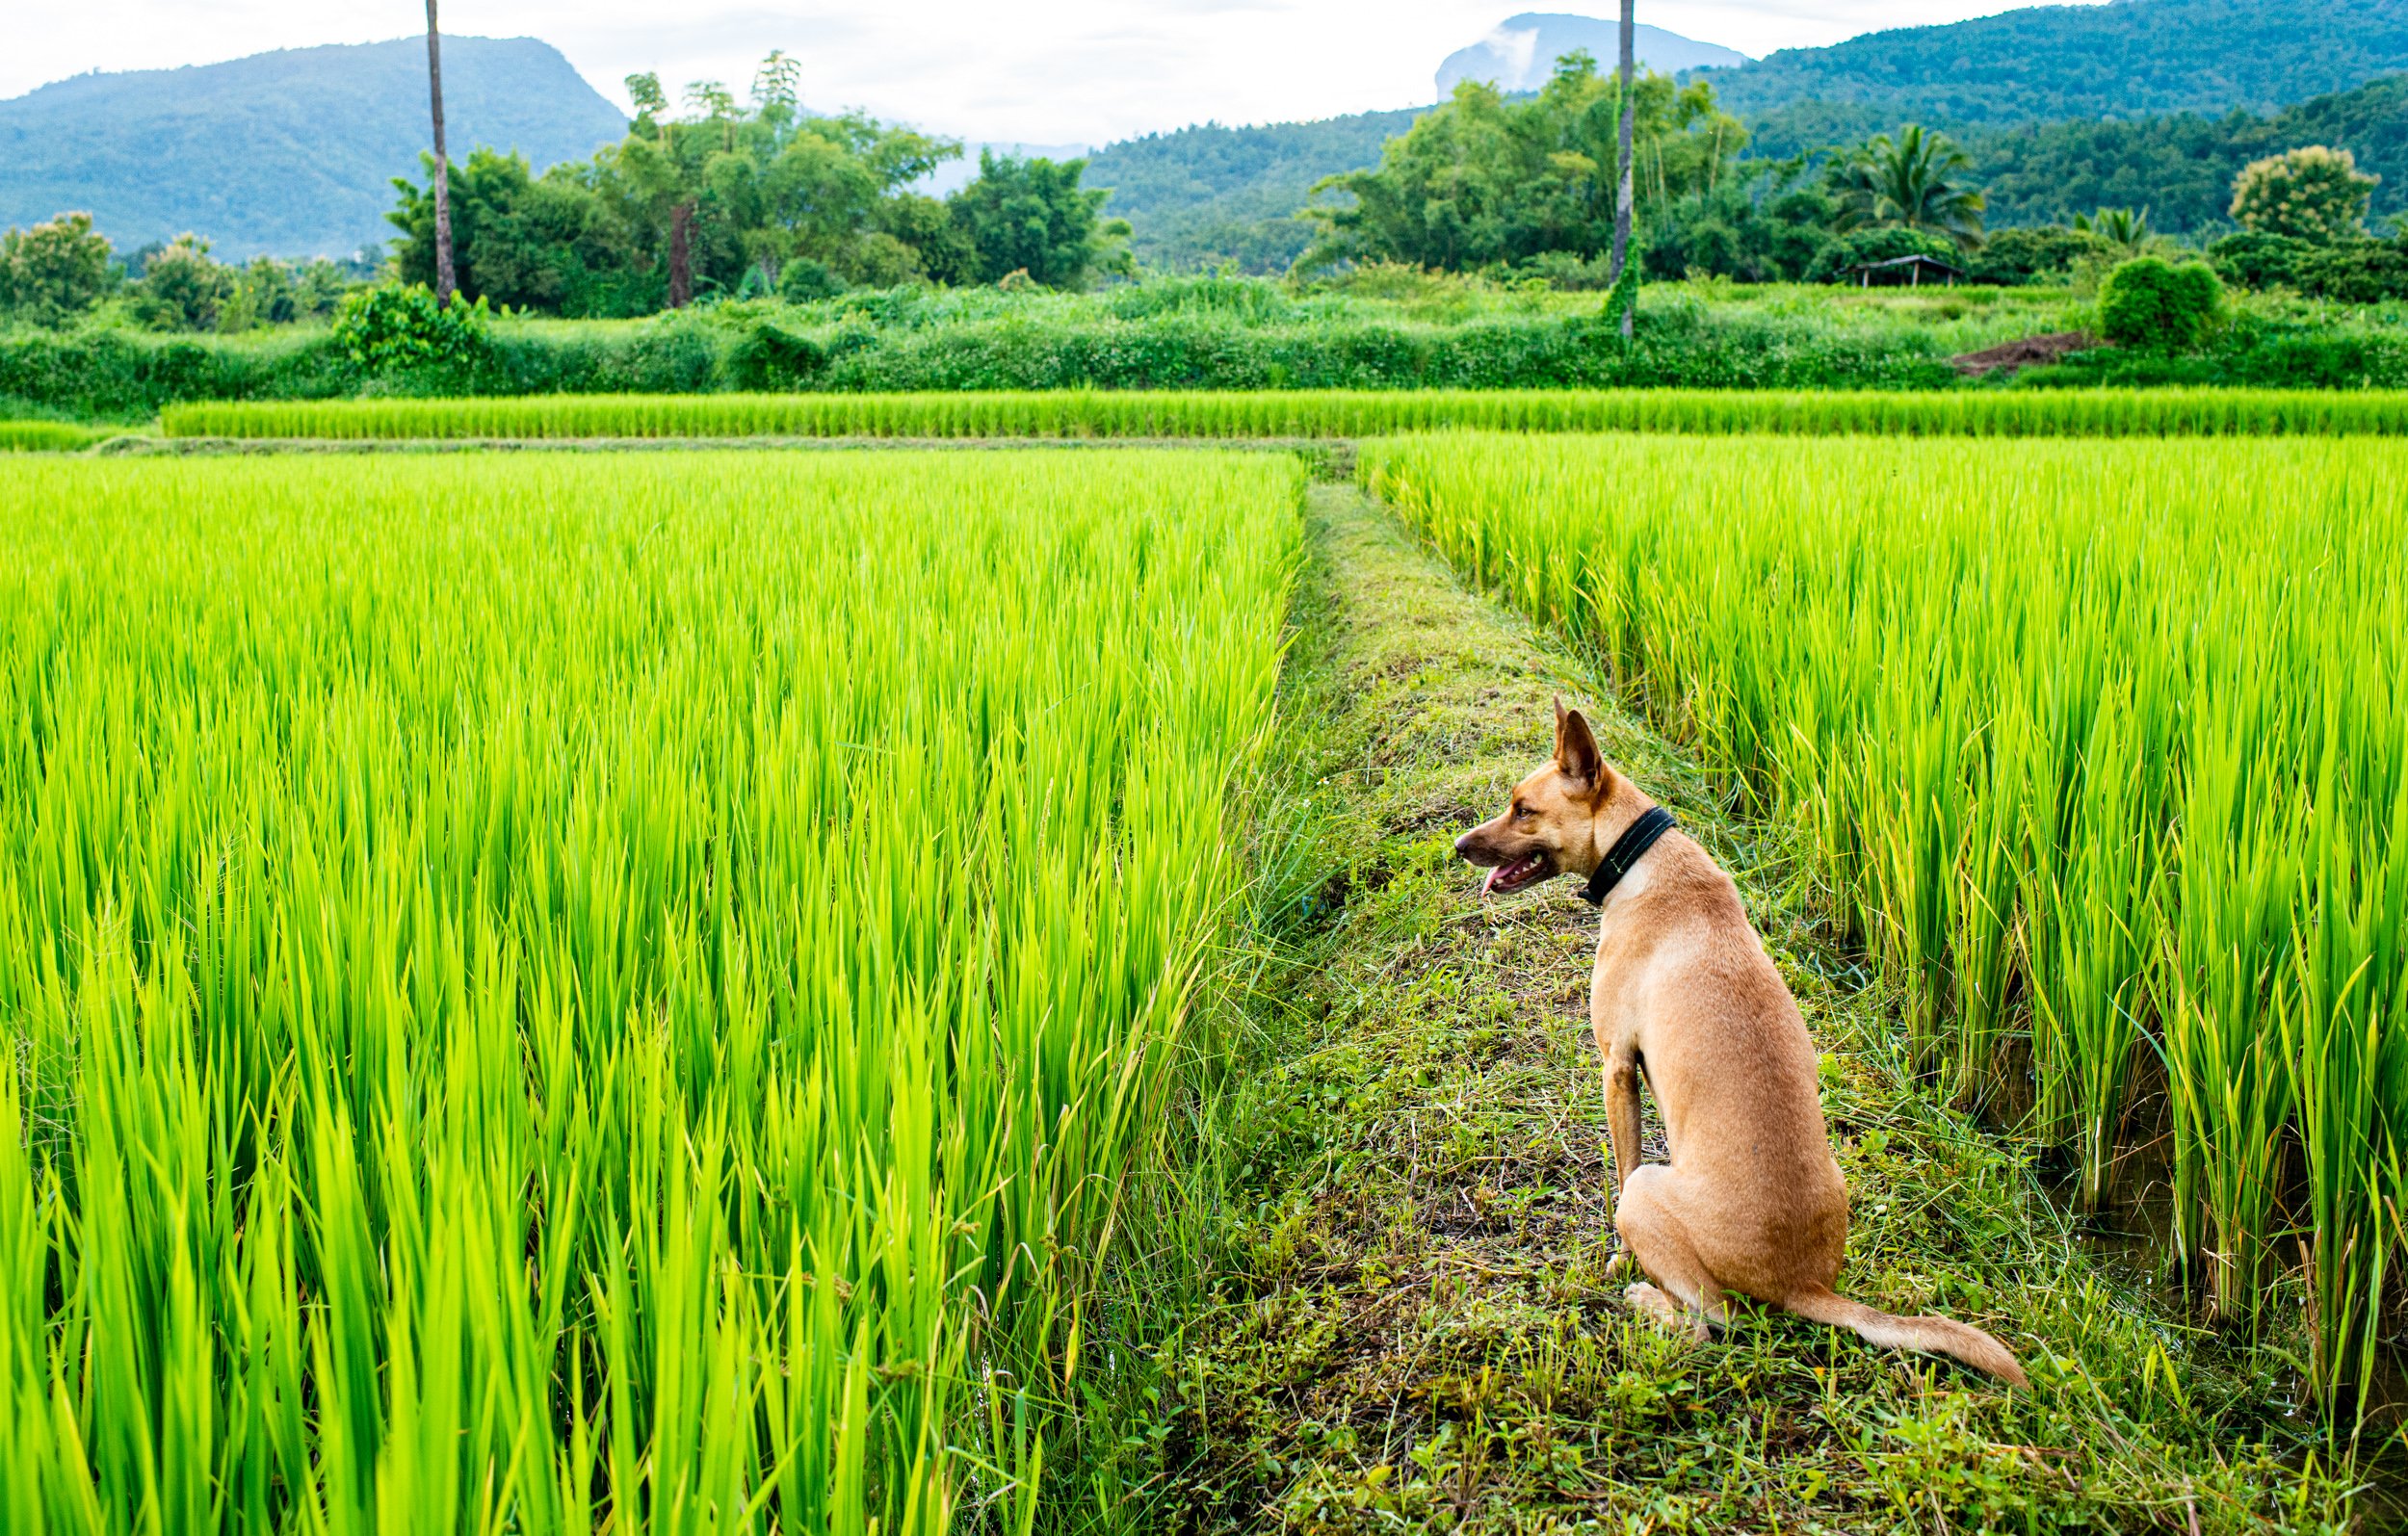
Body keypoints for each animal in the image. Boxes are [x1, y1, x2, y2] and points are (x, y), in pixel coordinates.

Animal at [1454, 703, 2023, 1387]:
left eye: (1523, 809)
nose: (1458, 846)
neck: (1640, 856)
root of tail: (1805, 1284)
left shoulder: (1617, 1068)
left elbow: (1619, 1166)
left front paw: (1618, 1259)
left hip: (1650, 1193)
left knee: (1712, 1322)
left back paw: (1647, 1299)